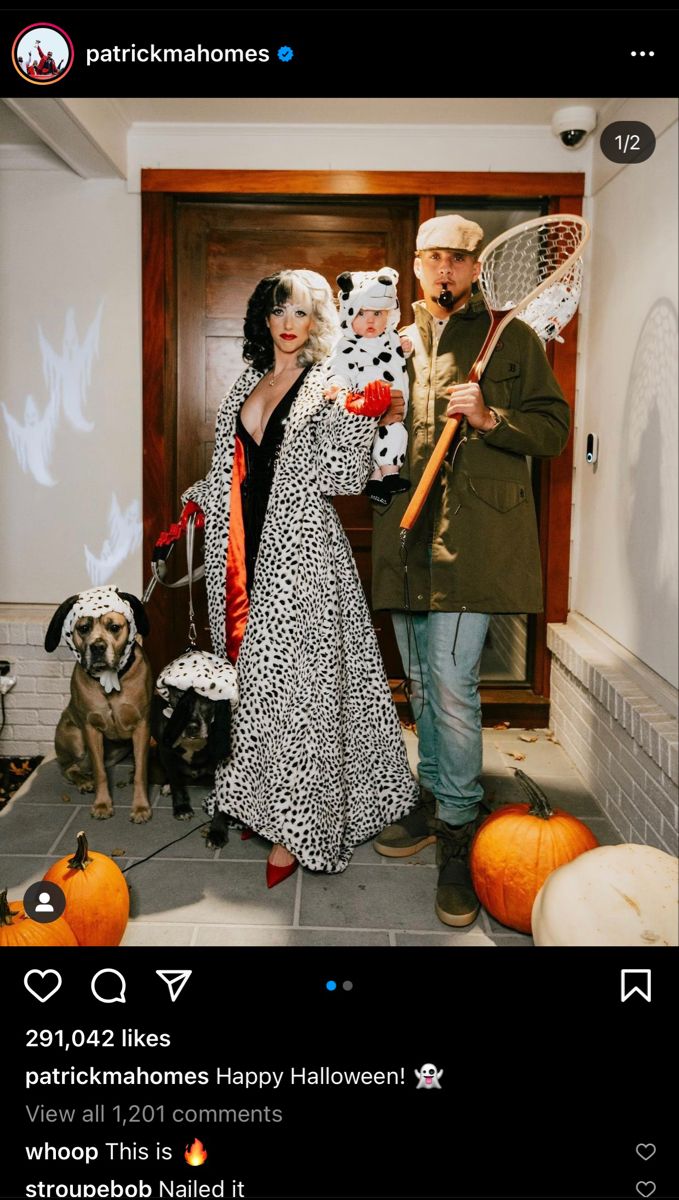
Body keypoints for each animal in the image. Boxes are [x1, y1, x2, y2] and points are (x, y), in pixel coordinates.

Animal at [46, 585, 154, 820]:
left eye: (114, 627)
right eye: (83, 628)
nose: (97, 647)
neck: (109, 680)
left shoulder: (142, 725)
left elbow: (142, 770)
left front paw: (141, 806)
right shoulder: (90, 728)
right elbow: (100, 772)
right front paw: (102, 804)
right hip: (73, 735)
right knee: (69, 767)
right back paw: (84, 781)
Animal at [151, 686, 231, 825]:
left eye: (207, 697)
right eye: (180, 694)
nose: (191, 727)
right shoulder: (166, 752)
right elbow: (176, 782)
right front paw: (182, 808)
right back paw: (167, 785)